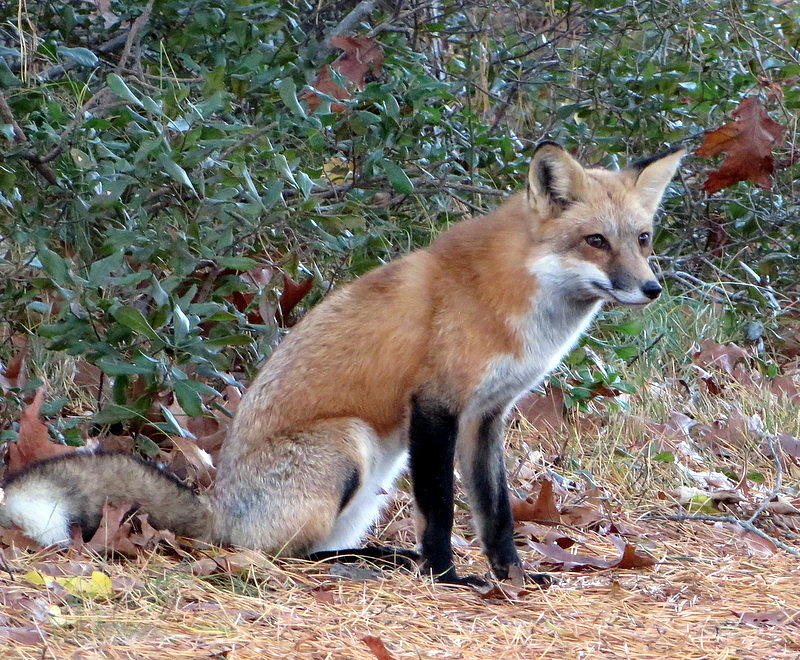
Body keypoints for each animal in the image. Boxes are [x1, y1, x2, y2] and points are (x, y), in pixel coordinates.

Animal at [1, 143, 688, 584]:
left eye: (643, 238)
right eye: (595, 241)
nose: (651, 288)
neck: (517, 301)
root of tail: (221, 508)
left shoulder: (487, 415)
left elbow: (495, 511)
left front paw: (512, 575)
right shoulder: (435, 406)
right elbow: (441, 507)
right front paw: (448, 576)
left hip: (377, 480)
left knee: (317, 543)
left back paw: (384, 558)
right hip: (349, 444)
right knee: (283, 553)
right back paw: (374, 566)